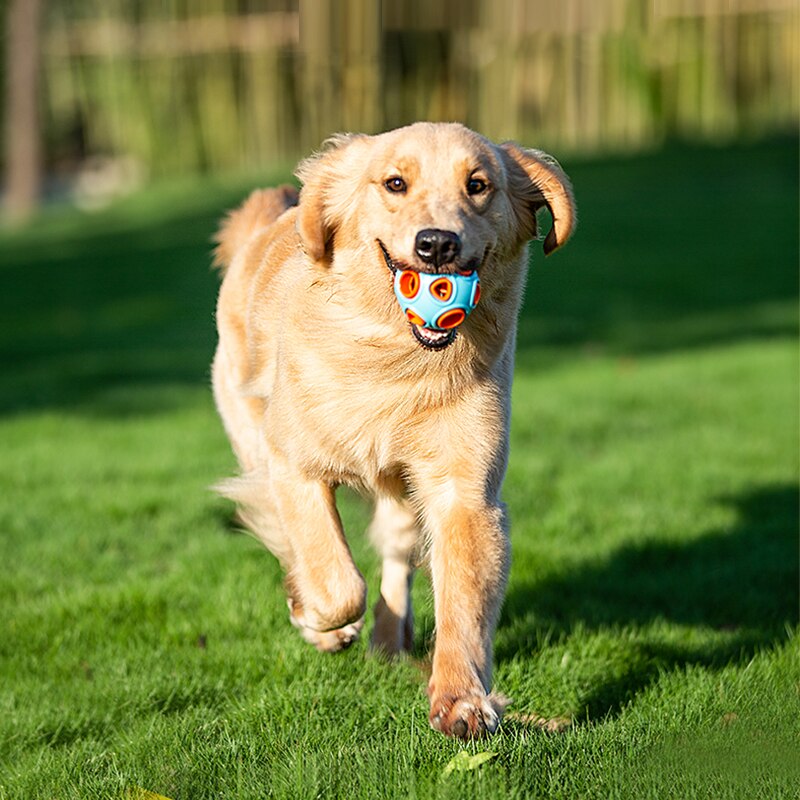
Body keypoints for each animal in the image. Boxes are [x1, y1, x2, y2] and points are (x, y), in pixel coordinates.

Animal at [212, 122, 576, 740]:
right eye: (394, 183)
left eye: (478, 185)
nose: (436, 244)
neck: (395, 360)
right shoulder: (292, 466)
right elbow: (336, 581)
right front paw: (316, 619)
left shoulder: (464, 489)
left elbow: (461, 602)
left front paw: (461, 701)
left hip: (405, 492)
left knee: (397, 558)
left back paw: (388, 639)